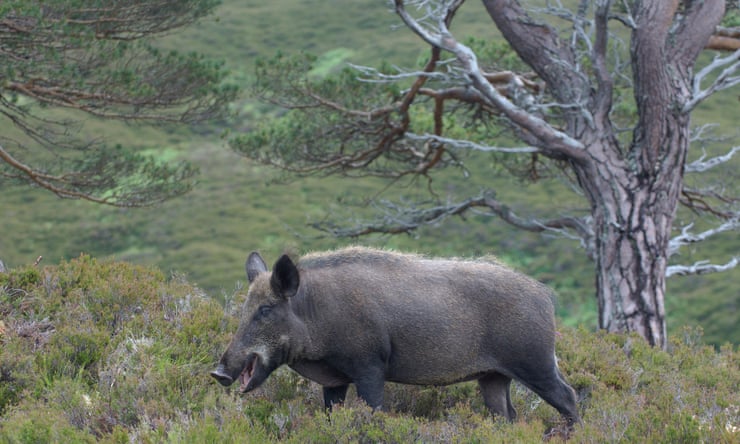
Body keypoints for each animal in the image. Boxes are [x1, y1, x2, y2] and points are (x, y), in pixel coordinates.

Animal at [211, 247, 580, 426]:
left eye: (265, 309)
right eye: (246, 306)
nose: (217, 372)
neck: (317, 313)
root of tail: (545, 297)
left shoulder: (370, 366)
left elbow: (374, 410)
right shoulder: (335, 379)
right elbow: (332, 414)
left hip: (535, 361)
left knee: (569, 397)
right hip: (493, 376)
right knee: (507, 415)